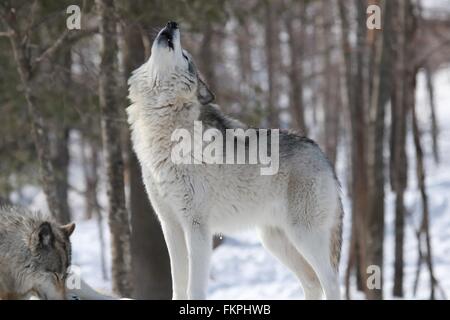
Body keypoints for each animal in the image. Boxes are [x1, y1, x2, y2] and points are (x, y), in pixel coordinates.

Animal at [126, 21, 344, 298]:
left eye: (185, 56)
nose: (172, 23)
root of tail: (323, 156)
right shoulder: (170, 224)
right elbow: (178, 284)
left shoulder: (197, 226)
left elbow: (194, 287)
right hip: (275, 241)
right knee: (312, 282)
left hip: (305, 237)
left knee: (331, 282)